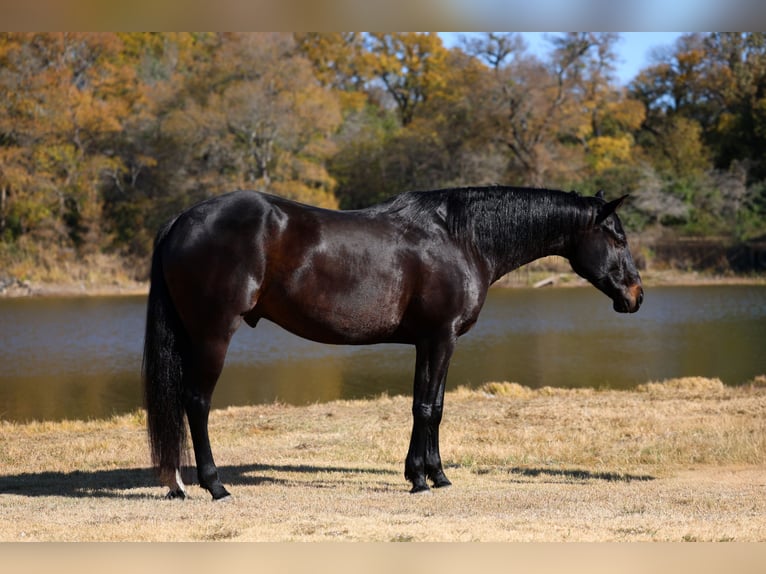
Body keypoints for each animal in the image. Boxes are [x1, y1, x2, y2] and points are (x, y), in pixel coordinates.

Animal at [142, 186, 643, 500]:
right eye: (617, 237)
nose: (636, 295)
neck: (460, 238)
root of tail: (181, 220)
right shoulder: (441, 338)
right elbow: (428, 408)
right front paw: (425, 479)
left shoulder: (428, 342)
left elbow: (429, 404)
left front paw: (430, 474)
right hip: (212, 335)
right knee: (196, 402)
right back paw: (213, 485)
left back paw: (177, 483)